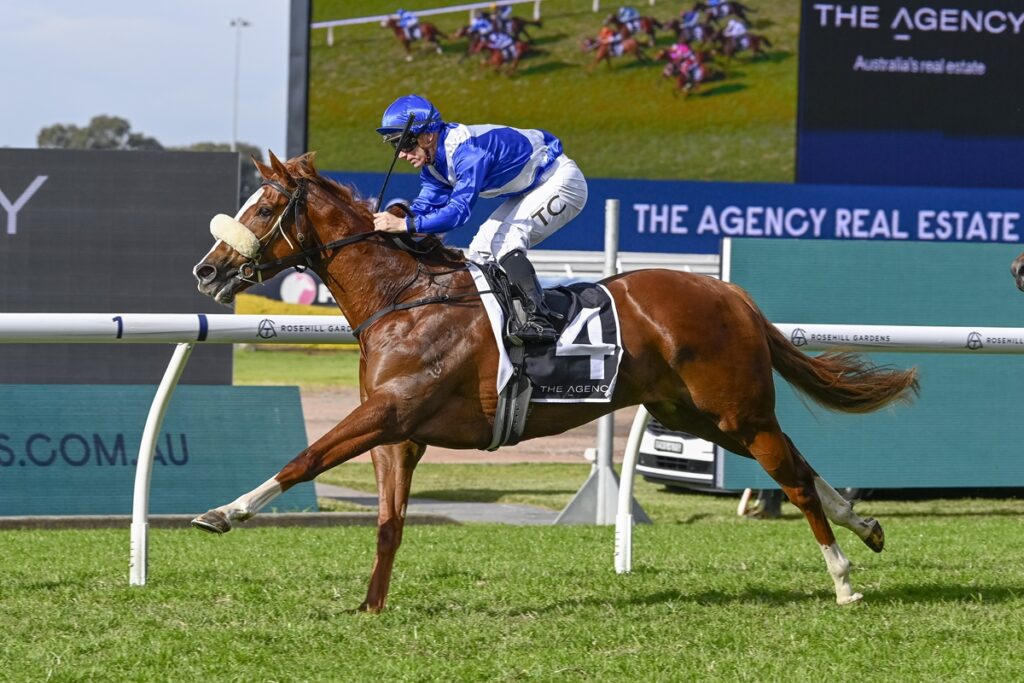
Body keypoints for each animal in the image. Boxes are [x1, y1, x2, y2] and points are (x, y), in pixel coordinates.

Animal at [190, 152, 919, 612]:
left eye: (265, 207)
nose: (207, 270)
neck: (405, 296)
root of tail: (727, 291)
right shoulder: (399, 431)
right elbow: (389, 523)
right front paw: (369, 607)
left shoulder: (390, 412)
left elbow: (305, 456)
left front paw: (224, 512)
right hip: (695, 414)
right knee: (798, 463)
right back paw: (866, 525)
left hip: (735, 410)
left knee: (792, 476)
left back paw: (844, 579)